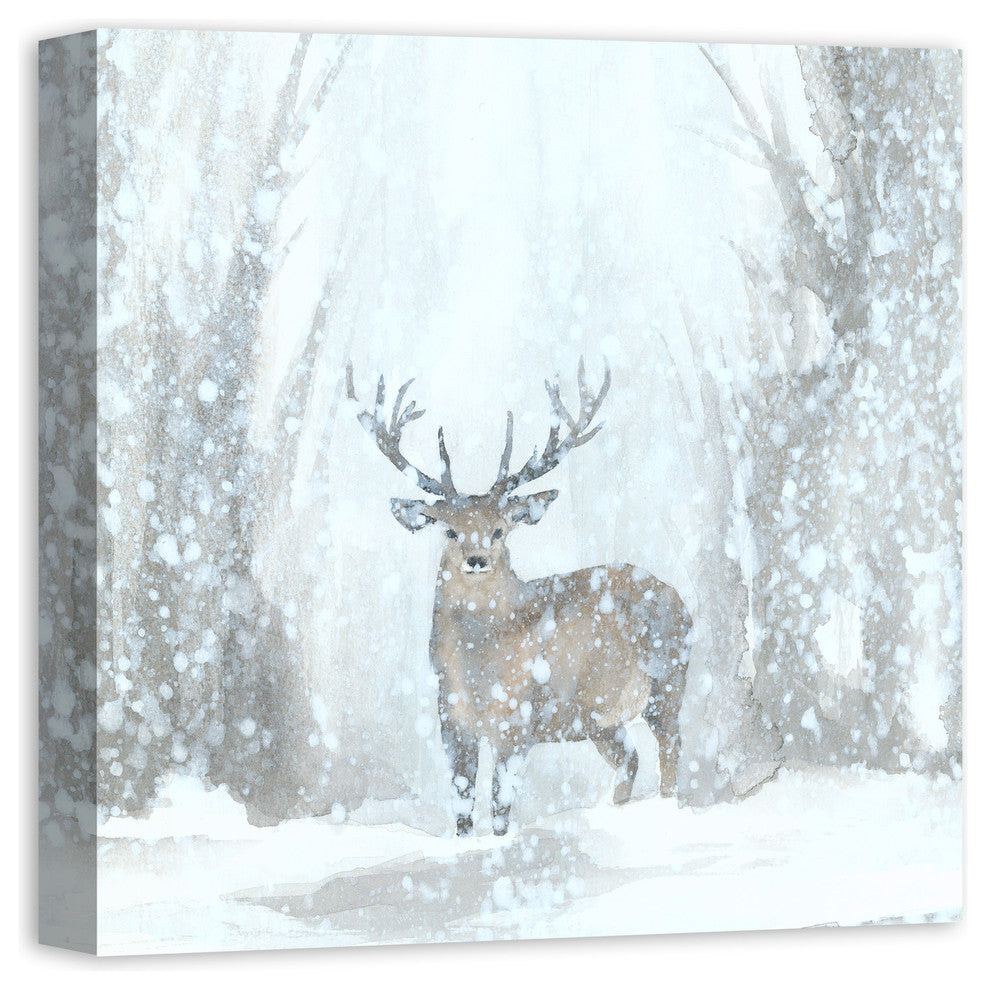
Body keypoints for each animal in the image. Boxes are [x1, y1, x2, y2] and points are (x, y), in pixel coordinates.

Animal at [346, 359, 691, 836]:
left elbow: (500, 805)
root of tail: (680, 599)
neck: (477, 668)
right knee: (630, 760)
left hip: (667, 682)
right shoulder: (451, 722)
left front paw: (499, 842)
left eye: (499, 530)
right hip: (599, 719)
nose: (475, 560)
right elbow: (461, 804)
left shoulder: (518, 720)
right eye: (450, 530)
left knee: (672, 753)